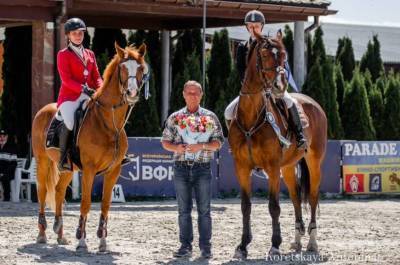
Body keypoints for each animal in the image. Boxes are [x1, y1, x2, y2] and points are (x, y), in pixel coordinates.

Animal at [32, 42, 148, 251]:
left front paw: (102, 241)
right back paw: (42, 234)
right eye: (122, 68)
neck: (108, 123)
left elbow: (105, 204)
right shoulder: (89, 170)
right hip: (42, 161)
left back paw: (60, 234)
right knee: (43, 191)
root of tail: (44, 109)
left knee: (59, 191)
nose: (132, 93)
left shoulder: (114, 171)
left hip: (68, 167)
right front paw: (82, 240)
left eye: (141, 68)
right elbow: (85, 203)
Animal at [230, 29, 326, 256]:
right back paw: (297, 240)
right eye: (264, 55)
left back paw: (312, 242)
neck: (251, 118)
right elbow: (245, 206)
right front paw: (243, 245)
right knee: (295, 197)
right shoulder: (241, 167)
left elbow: (274, 206)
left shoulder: (272, 168)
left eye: (283, 56)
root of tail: (314, 103)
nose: (279, 87)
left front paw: (274, 245)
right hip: (289, 167)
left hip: (314, 161)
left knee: (312, 195)